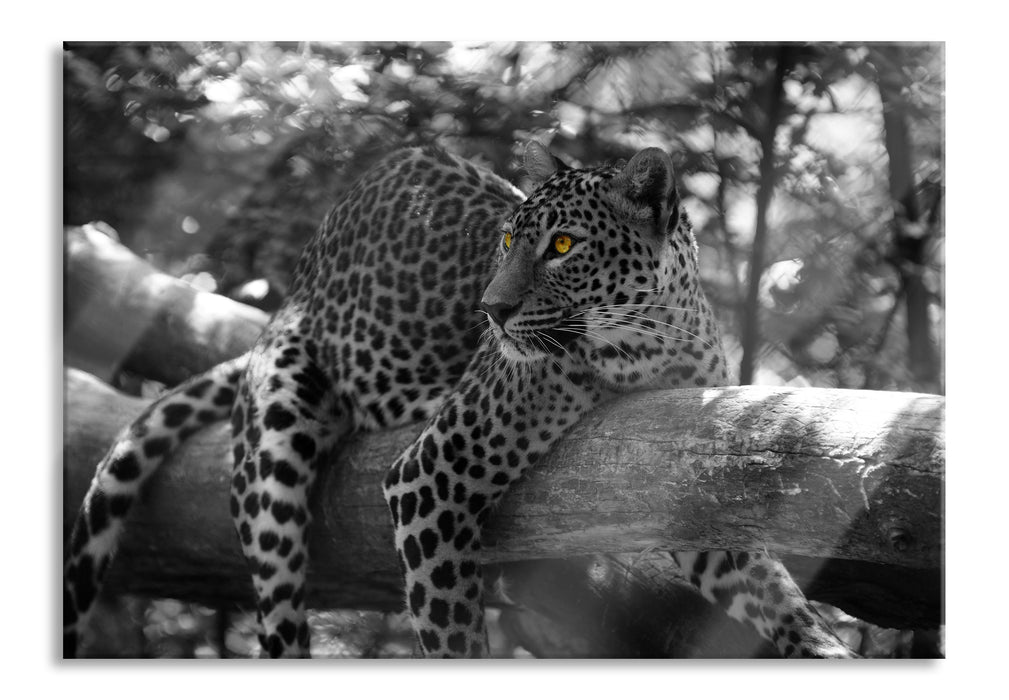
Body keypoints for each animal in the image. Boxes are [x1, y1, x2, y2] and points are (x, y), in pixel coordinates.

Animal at [64, 141, 856, 659]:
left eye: (563, 246)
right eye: (508, 240)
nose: (491, 311)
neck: (648, 342)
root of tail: (293, 289)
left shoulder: (680, 473)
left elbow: (768, 586)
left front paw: (820, 645)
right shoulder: (428, 478)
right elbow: (451, 635)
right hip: (276, 446)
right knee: (280, 611)